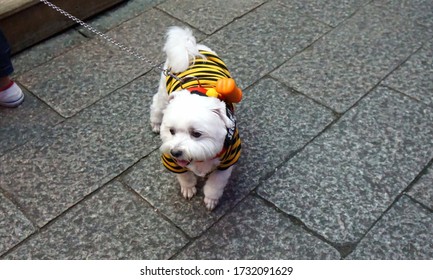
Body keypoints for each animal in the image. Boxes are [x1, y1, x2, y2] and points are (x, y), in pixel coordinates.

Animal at [150, 26, 241, 210]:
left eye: (196, 134)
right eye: (171, 131)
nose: (176, 152)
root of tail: (191, 48)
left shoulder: (227, 161)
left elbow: (215, 184)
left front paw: (211, 199)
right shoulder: (172, 162)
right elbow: (185, 176)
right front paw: (188, 188)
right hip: (164, 91)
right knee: (157, 103)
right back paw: (155, 122)